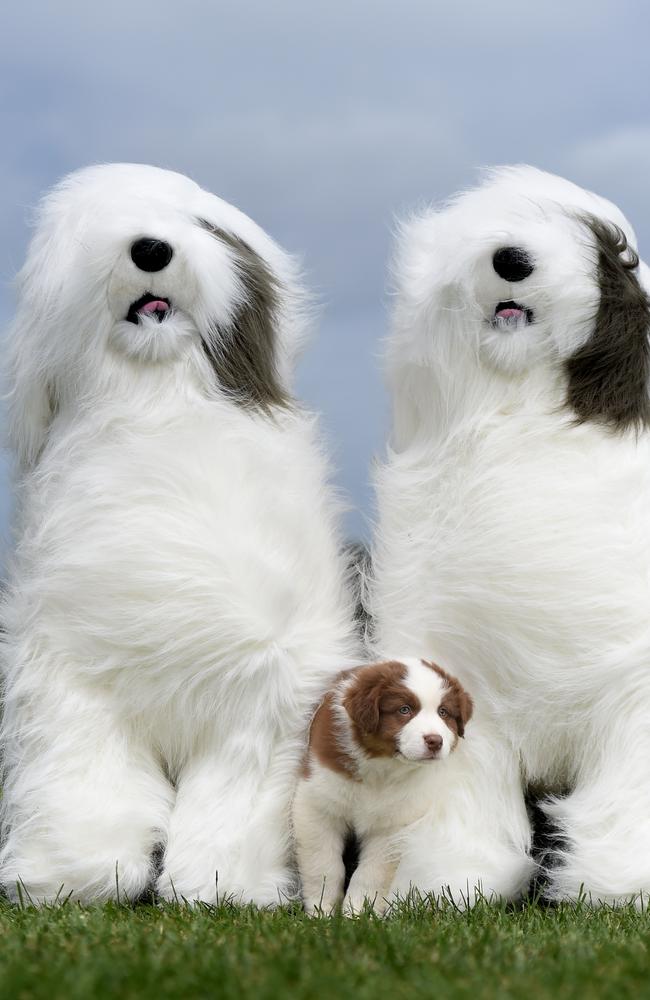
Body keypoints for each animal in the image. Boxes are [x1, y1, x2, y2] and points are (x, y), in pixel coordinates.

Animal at [292, 656, 470, 916]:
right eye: (404, 710)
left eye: (443, 712)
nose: (435, 741)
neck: (381, 768)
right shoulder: (318, 806)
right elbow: (323, 864)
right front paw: (322, 911)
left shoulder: (390, 826)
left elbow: (370, 874)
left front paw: (357, 913)